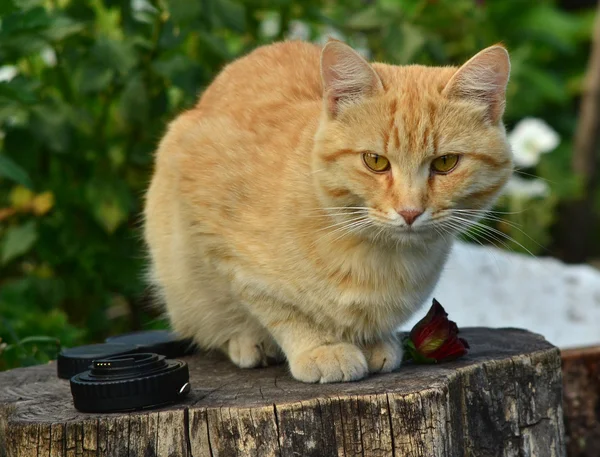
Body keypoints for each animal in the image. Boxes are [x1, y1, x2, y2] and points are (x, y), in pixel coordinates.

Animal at [144, 38, 510, 382]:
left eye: (445, 163)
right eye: (375, 161)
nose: (409, 211)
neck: (380, 257)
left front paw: (372, 341)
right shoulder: (221, 248)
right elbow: (283, 310)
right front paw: (321, 347)